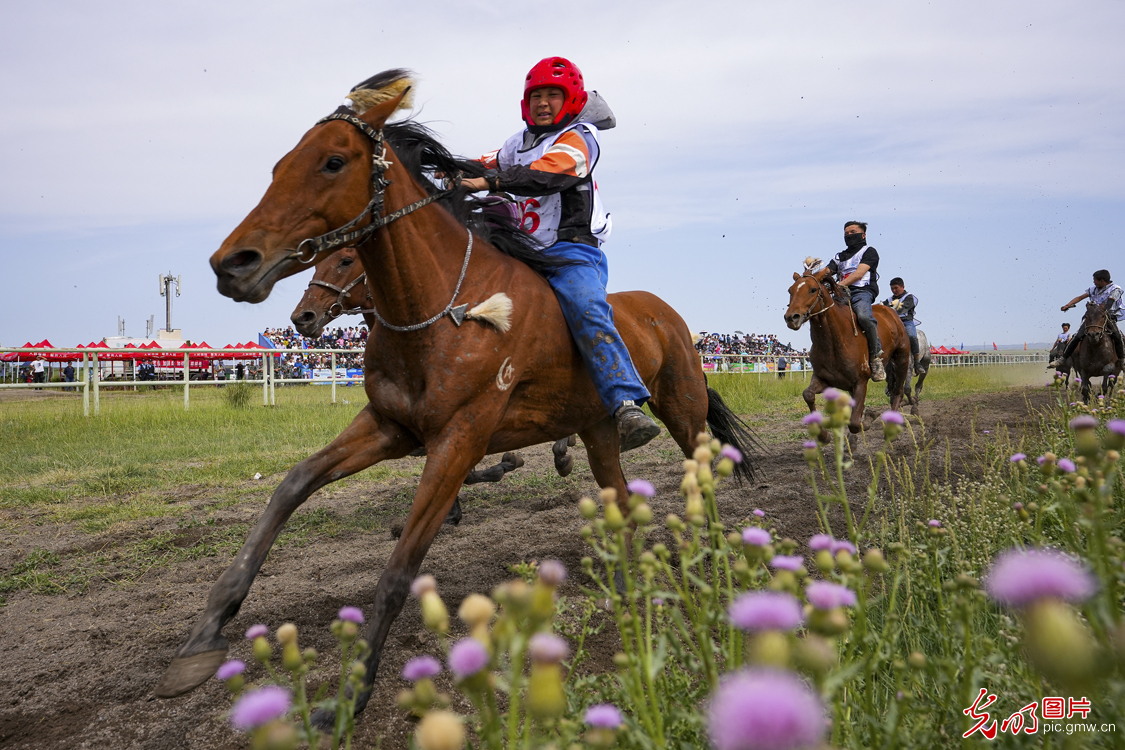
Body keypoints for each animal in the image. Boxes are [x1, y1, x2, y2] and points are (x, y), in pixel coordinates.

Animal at [158, 71, 756, 719]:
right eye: (278, 165)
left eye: (333, 162)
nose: (234, 263)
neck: (449, 308)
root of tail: (669, 316)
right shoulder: (389, 425)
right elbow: (292, 486)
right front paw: (204, 634)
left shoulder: (460, 437)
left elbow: (399, 571)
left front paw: (349, 694)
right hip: (598, 428)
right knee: (618, 496)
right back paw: (624, 586)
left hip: (682, 409)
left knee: (702, 468)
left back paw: (714, 557)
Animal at [783, 260, 913, 431]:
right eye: (790, 290)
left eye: (812, 289)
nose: (791, 317)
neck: (834, 343)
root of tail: (891, 311)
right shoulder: (824, 379)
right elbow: (808, 394)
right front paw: (823, 434)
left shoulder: (860, 382)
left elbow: (855, 424)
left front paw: (870, 417)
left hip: (902, 358)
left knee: (898, 392)